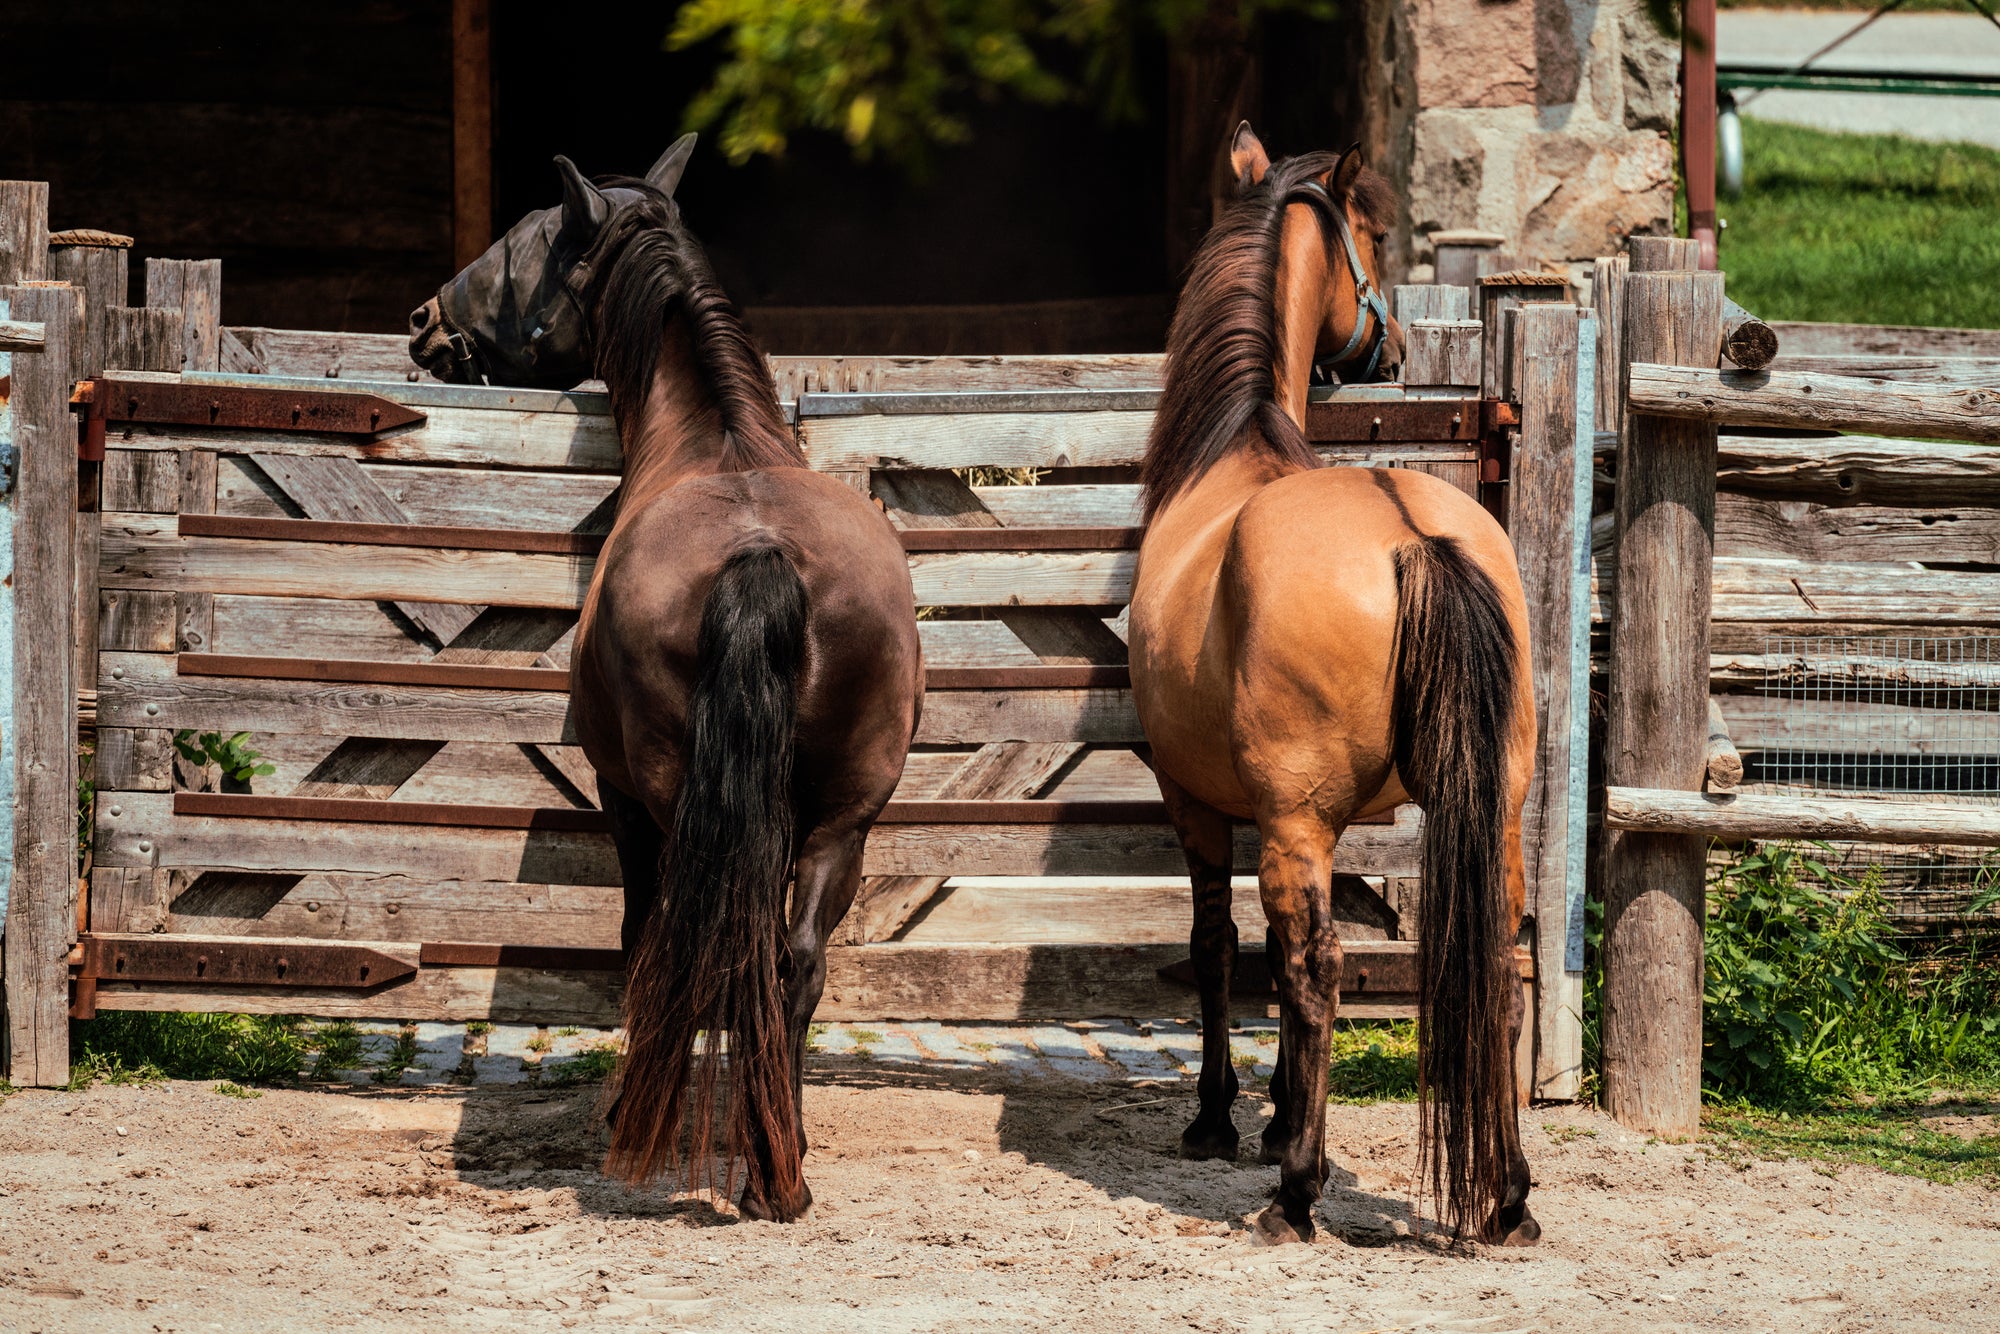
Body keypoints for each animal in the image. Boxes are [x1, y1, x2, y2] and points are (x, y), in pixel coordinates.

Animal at [409, 138, 923, 1223]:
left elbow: (641, 942)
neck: (714, 438)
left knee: (691, 950)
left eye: (522, 241)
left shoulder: (620, 800)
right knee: (790, 962)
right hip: (842, 822)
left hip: (667, 801)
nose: (425, 321)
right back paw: (779, 1162)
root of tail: (761, 554)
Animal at [1126, 123, 1538, 1246]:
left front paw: (1225, 1120)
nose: (1388, 353)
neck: (1234, 444)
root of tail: (1412, 535)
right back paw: (1507, 1194)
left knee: (1315, 969)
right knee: (1495, 954)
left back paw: (1297, 1193)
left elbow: (1222, 947)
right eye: (1378, 236)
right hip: (1493, 805)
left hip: (1292, 820)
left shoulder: (1203, 804)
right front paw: (1272, 1113)